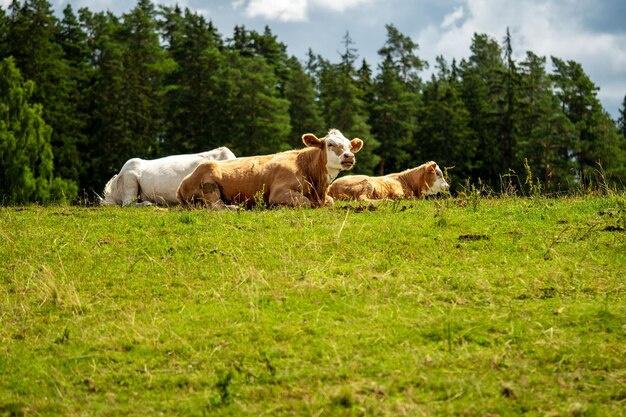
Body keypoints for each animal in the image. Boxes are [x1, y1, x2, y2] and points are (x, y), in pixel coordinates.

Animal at [176, 129, 364, 208]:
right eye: (330, 144)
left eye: (349, 145)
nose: (349, 156)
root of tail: (182, 183)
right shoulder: (279, 192)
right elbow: (305, 202)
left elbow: (330, 201)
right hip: (209, 182)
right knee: (216, 207)